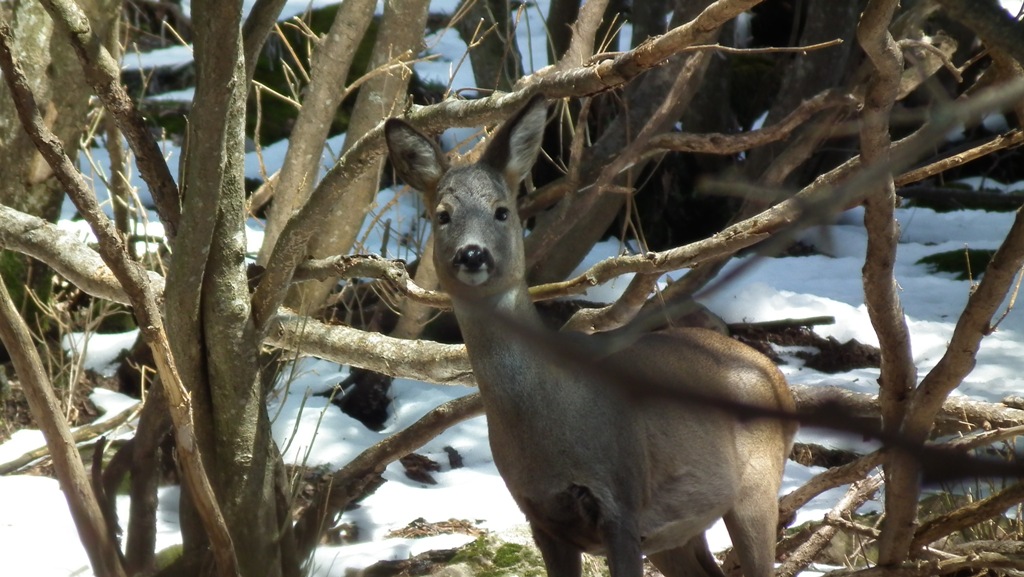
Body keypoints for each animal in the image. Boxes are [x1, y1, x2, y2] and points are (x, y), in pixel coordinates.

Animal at [385, 95, 790, 577]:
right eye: (442, 215)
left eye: (502, 210)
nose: (472, 254)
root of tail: (780, 382)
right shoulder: (542, 517)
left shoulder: (622, 502)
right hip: (677, 531)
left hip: (755, 486)